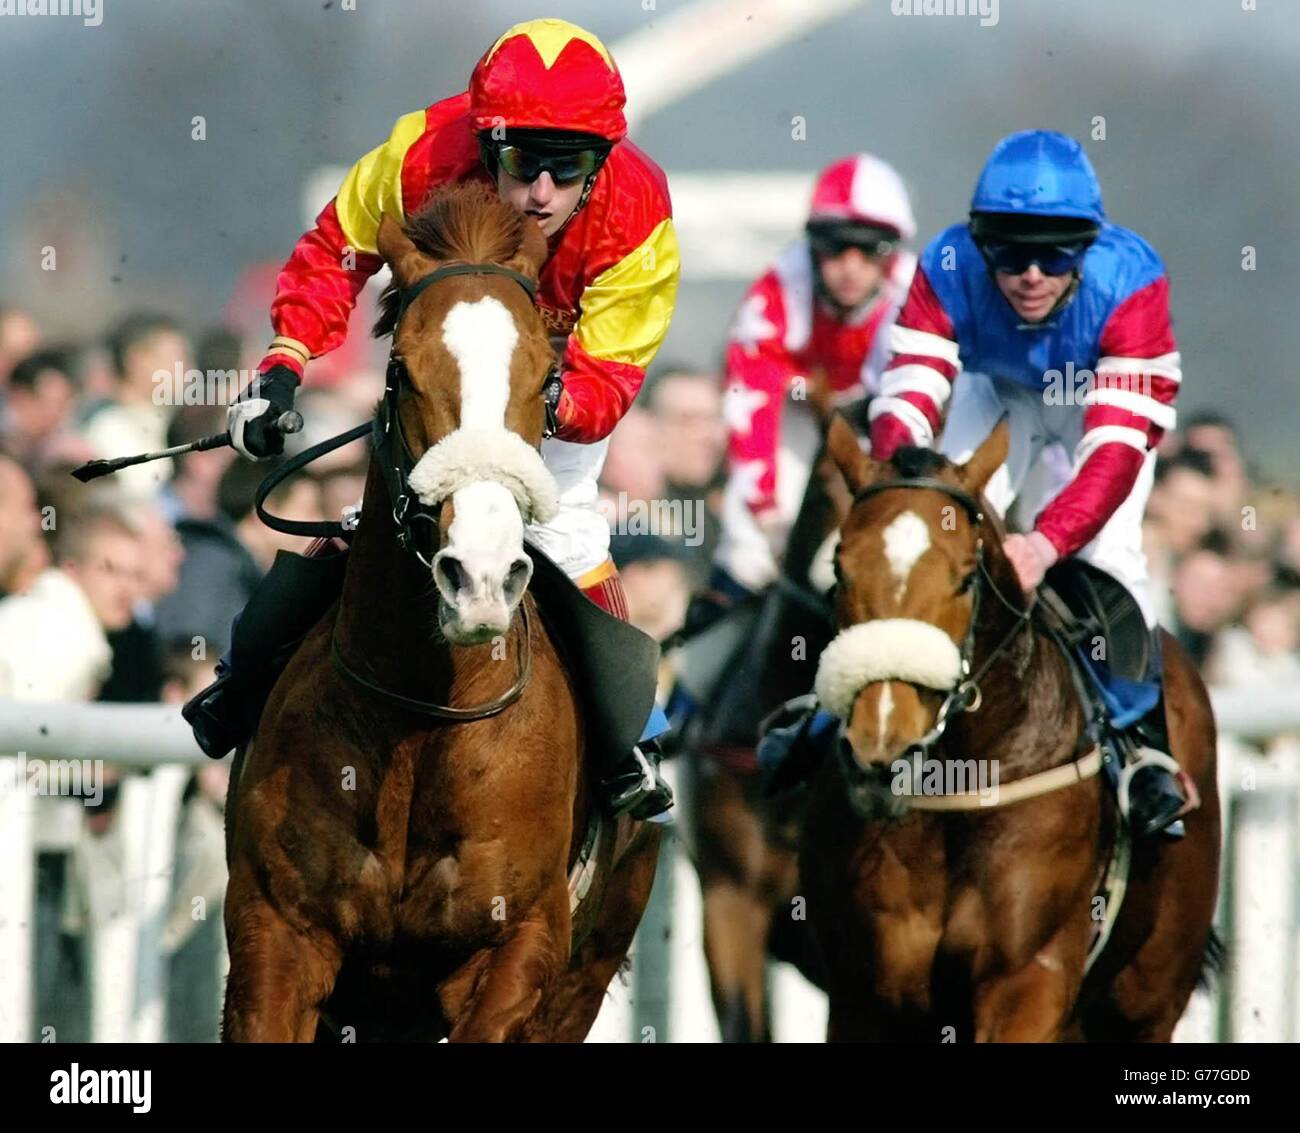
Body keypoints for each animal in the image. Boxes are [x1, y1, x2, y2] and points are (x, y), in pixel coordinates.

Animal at [220, 185, 660, 1044]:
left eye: (546, 378)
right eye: (400, 367)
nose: (479, 576)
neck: (424, 718)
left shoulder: (516, 948)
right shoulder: (276, 931)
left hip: (588, 970)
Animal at [806, 410, 1222, 1039]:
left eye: (964, 578)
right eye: (840, 568)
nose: (882, 753)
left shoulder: (1030, 980)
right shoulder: (865, 995)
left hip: (1151, 994)